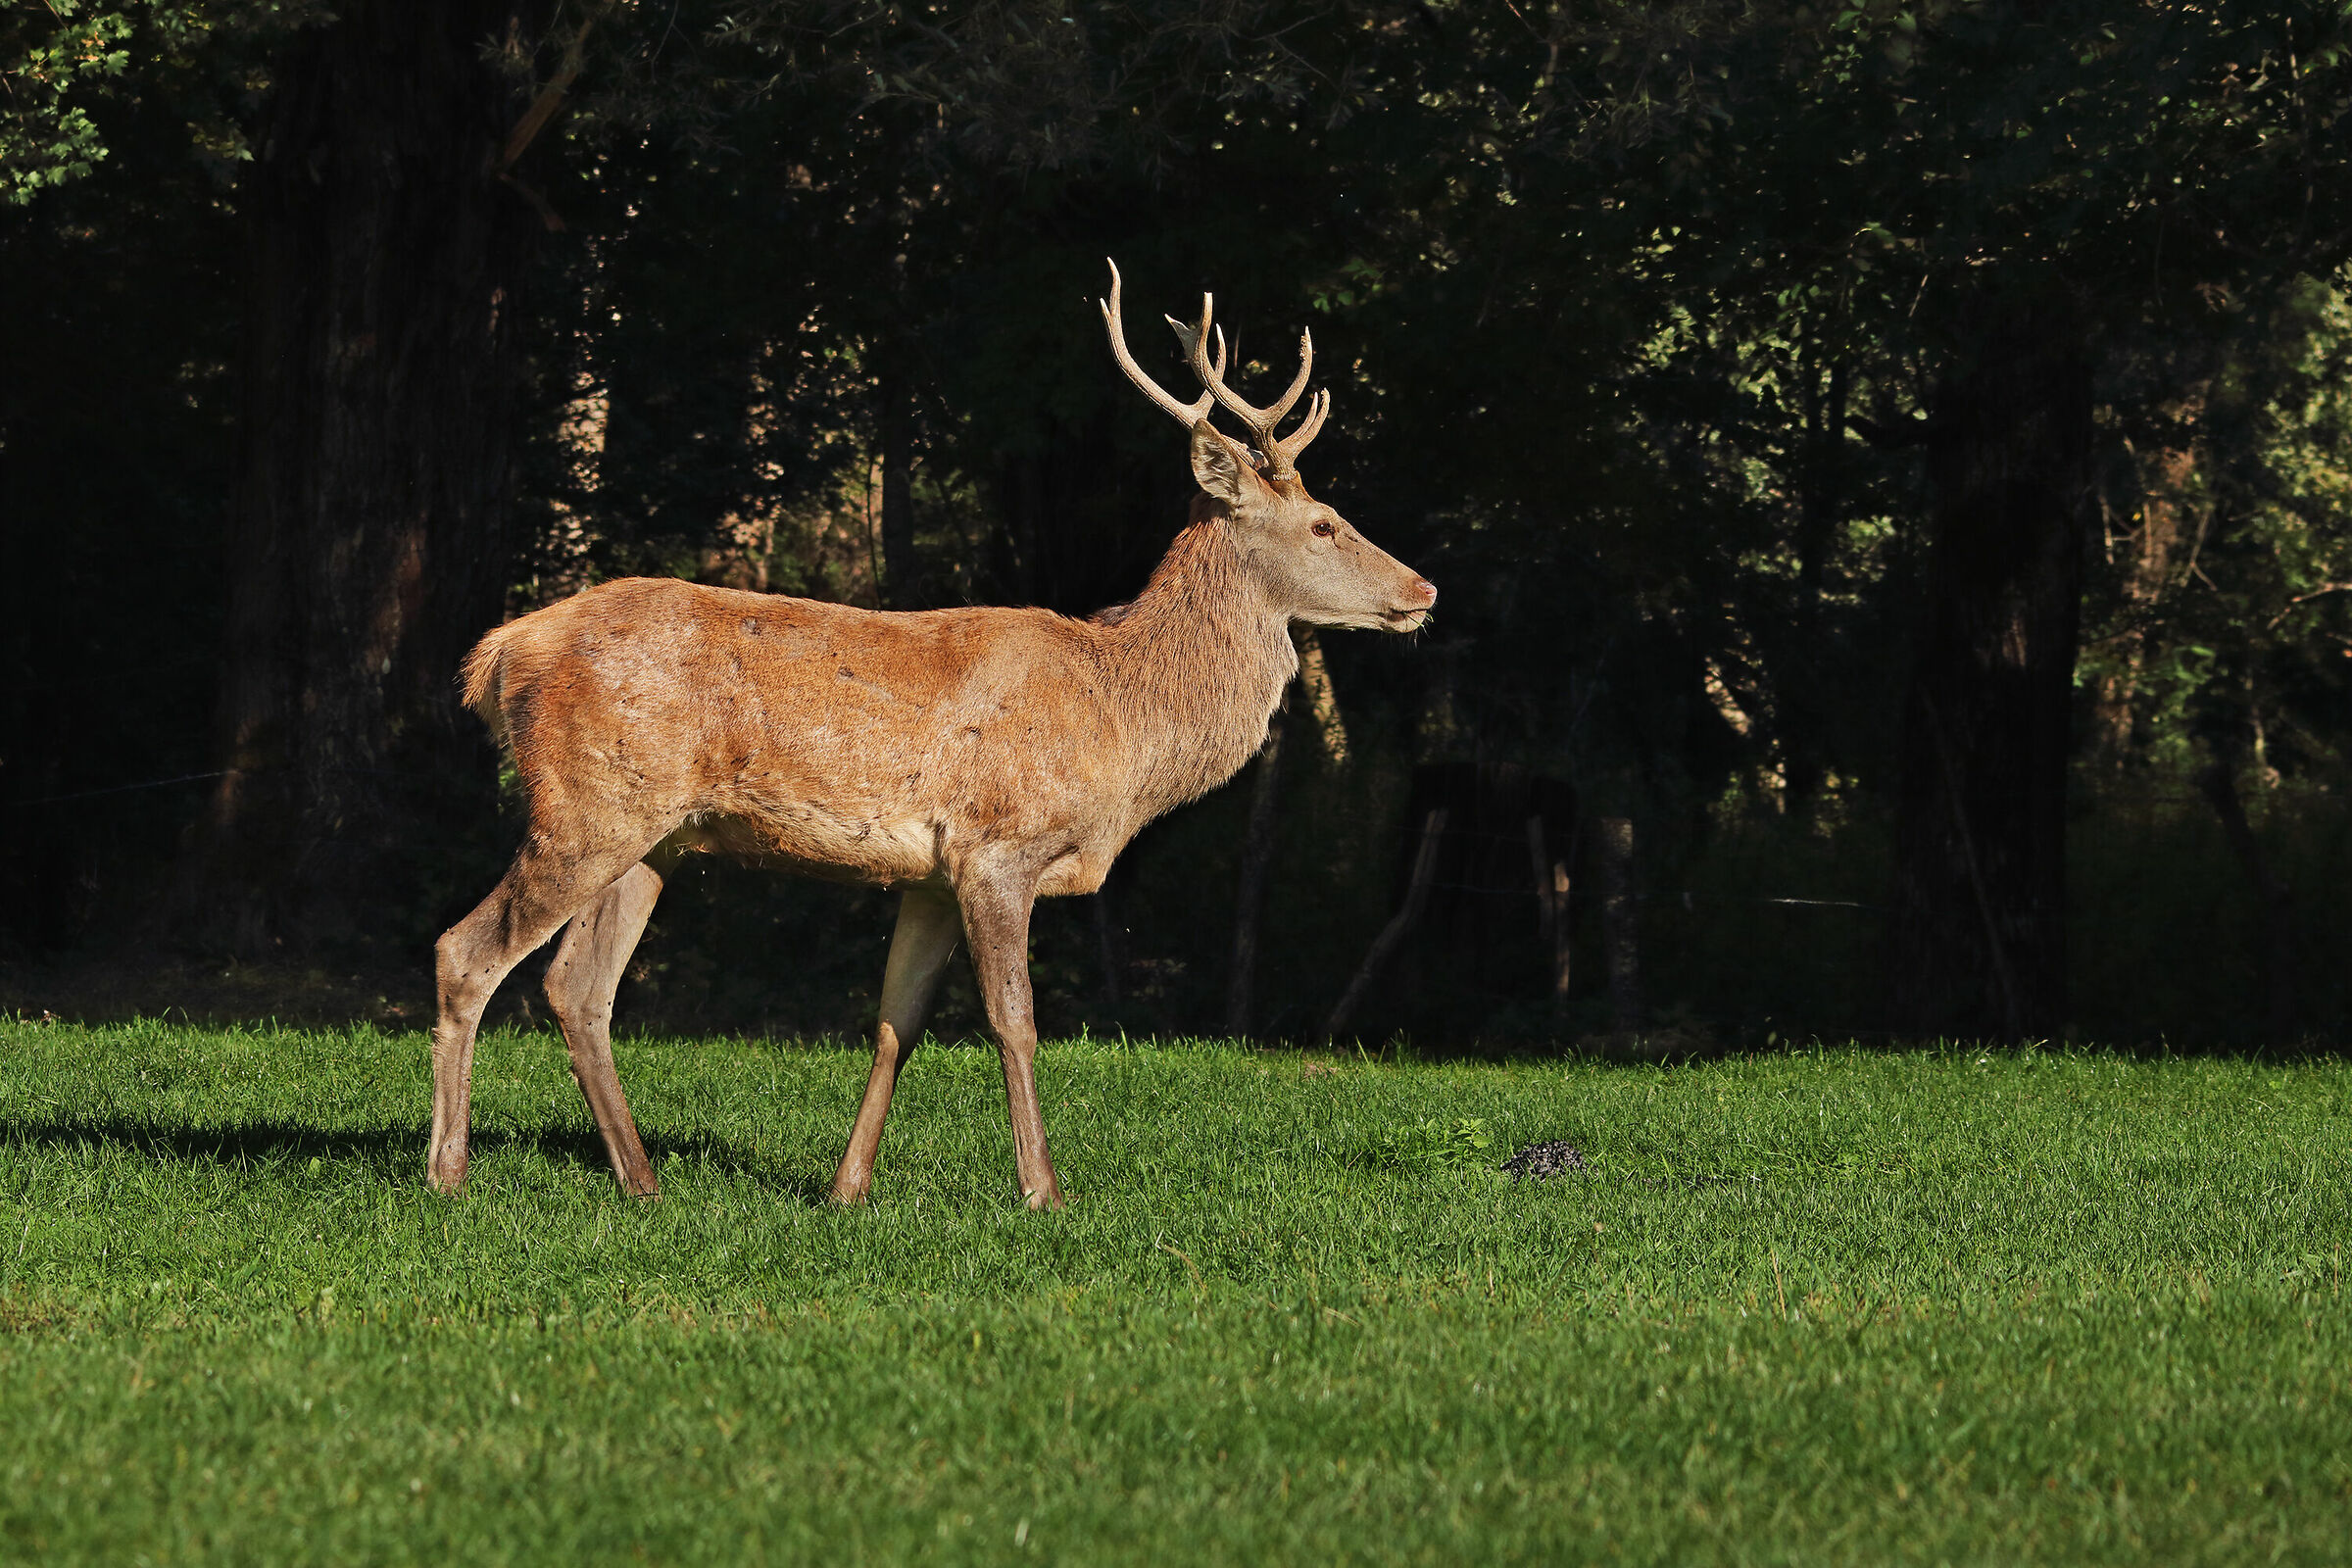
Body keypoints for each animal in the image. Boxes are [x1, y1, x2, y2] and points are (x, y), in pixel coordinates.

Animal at [426, 260, 1436, 1209]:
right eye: (1325, 521)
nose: (1424, 589)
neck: (1124, 721)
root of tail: (501, 654)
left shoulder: (931, 876)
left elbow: (895, 1023)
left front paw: (848, 1187)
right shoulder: (999, 845)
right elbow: (1014, 1019)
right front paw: (1043, 1190)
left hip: (655, 837)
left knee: (577, 987)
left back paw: (640, 1180)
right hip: (584, 807)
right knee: (466, 953)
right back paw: (449, 1171)